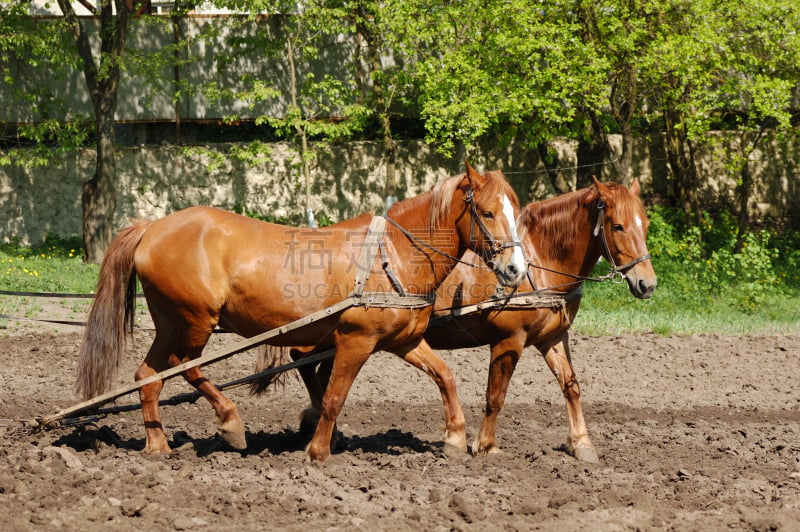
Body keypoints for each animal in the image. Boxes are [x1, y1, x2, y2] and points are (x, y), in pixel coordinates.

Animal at [73, 163, 524, 462]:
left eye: (514, 211)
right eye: (486, 212)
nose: (516, 269)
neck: (392, 255)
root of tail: (152, 227)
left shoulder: (405, 340)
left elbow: (445, 376)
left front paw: (455, 438)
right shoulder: (356, 340)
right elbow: (334, 396)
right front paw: (318, 451)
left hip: (170, 323)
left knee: (148, 376)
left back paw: (157, 445)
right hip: (194, 321)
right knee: (186, 367)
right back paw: (230, 423)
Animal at [268, 178, 656, 462]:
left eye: (646, 224)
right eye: (618, 226)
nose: (647, 284)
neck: (538, 262)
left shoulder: (552, 338)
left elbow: (571, 387)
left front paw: (582, 444)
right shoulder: (509, 339)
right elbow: (495, 395)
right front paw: (484, 445)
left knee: (313, 369)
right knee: (303, 360)